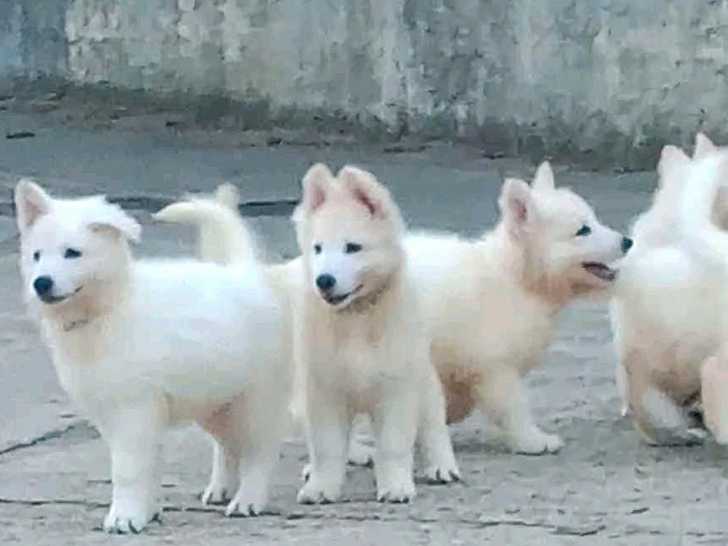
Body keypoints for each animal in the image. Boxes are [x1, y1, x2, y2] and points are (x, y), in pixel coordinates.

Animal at [15, 180, 292, 533]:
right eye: (36, 256)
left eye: (72, 253)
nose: (41, 283)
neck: (107, 310)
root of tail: (243, 271)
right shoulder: (112, 412)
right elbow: (145, 466)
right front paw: (146, 512)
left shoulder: (134, 409)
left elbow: (128, 469)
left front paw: (124, 518)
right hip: (214, 399)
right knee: (227, 444)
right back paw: (220, 488)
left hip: (256, 396)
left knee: (260, 449)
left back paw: (248, 500)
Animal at [292, 164, 459, 504]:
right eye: (317, 248)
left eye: (352, 248)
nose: (324, 280)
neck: (356, 317)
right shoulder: (324, 388)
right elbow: (327, 446)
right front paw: (321, 487)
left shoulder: (396, 386)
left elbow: (394, 445)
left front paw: (395, 485)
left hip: (422, 377)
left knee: (433, 421)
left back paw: (442, 465)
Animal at [402, 161, 631, 454]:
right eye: (583, 230)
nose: (627, 241)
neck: (513, 279)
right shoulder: (496, 368)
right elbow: (513, 407)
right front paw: (533, 440)